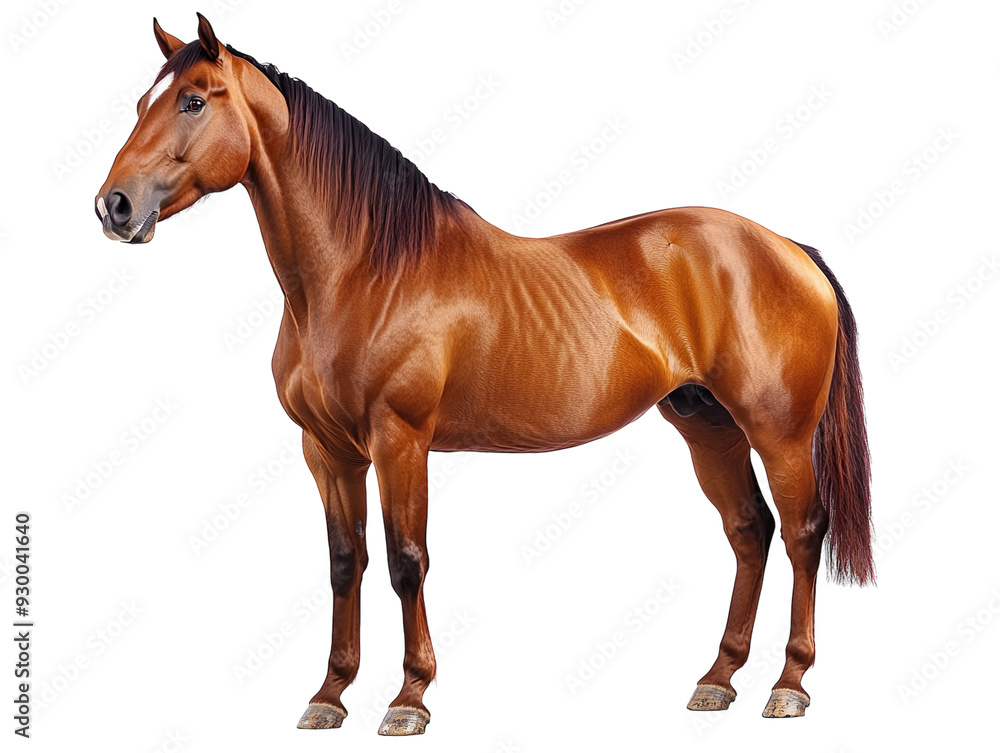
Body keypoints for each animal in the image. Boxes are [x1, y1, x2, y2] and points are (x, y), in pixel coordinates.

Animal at [95, 14, 874, 735]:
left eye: (194, 100)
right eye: (141, 102)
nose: (114, 206)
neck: (362, 271)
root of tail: (788, 247)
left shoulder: (400, 439)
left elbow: (406, 559)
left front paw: (409, 699)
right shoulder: (327, 451)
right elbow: (345, 561)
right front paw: (328, 696)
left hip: (779, 431)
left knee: (803, 532)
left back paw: (789, 684)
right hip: (706, 424)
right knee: (750, 531)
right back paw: (717, 678)